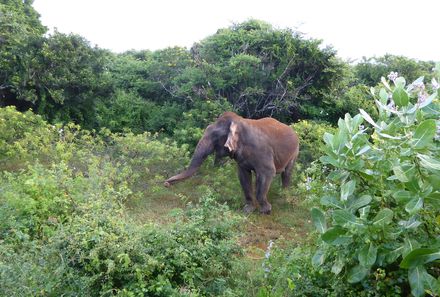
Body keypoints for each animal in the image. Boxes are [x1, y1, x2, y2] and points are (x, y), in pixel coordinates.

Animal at [164, 111, 300, 213]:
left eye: (215, 136)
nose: (166, 184)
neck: (239, 121)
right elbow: (243, 176)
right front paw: (247, 210)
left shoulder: (262, 152)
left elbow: (268, 172)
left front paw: (266, 211)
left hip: (295, 151)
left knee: (287, 173)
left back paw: (284, 197)